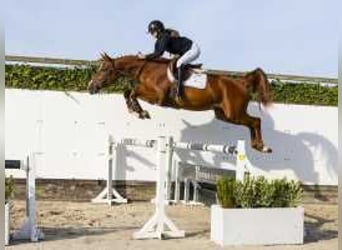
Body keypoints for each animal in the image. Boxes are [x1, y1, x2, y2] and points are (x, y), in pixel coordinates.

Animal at [88, 52, 272, 152]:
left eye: (104, 69)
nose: (90, 87)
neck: (147, 69)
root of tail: (241, 82)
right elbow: (127, 92)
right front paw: (136, 111)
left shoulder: (158, 97)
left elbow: (133, 92)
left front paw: (141, 112)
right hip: (224, 115)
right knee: (251, 123)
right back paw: (256, 145)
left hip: (234, 113)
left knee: (255, 121)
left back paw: (263, 147)